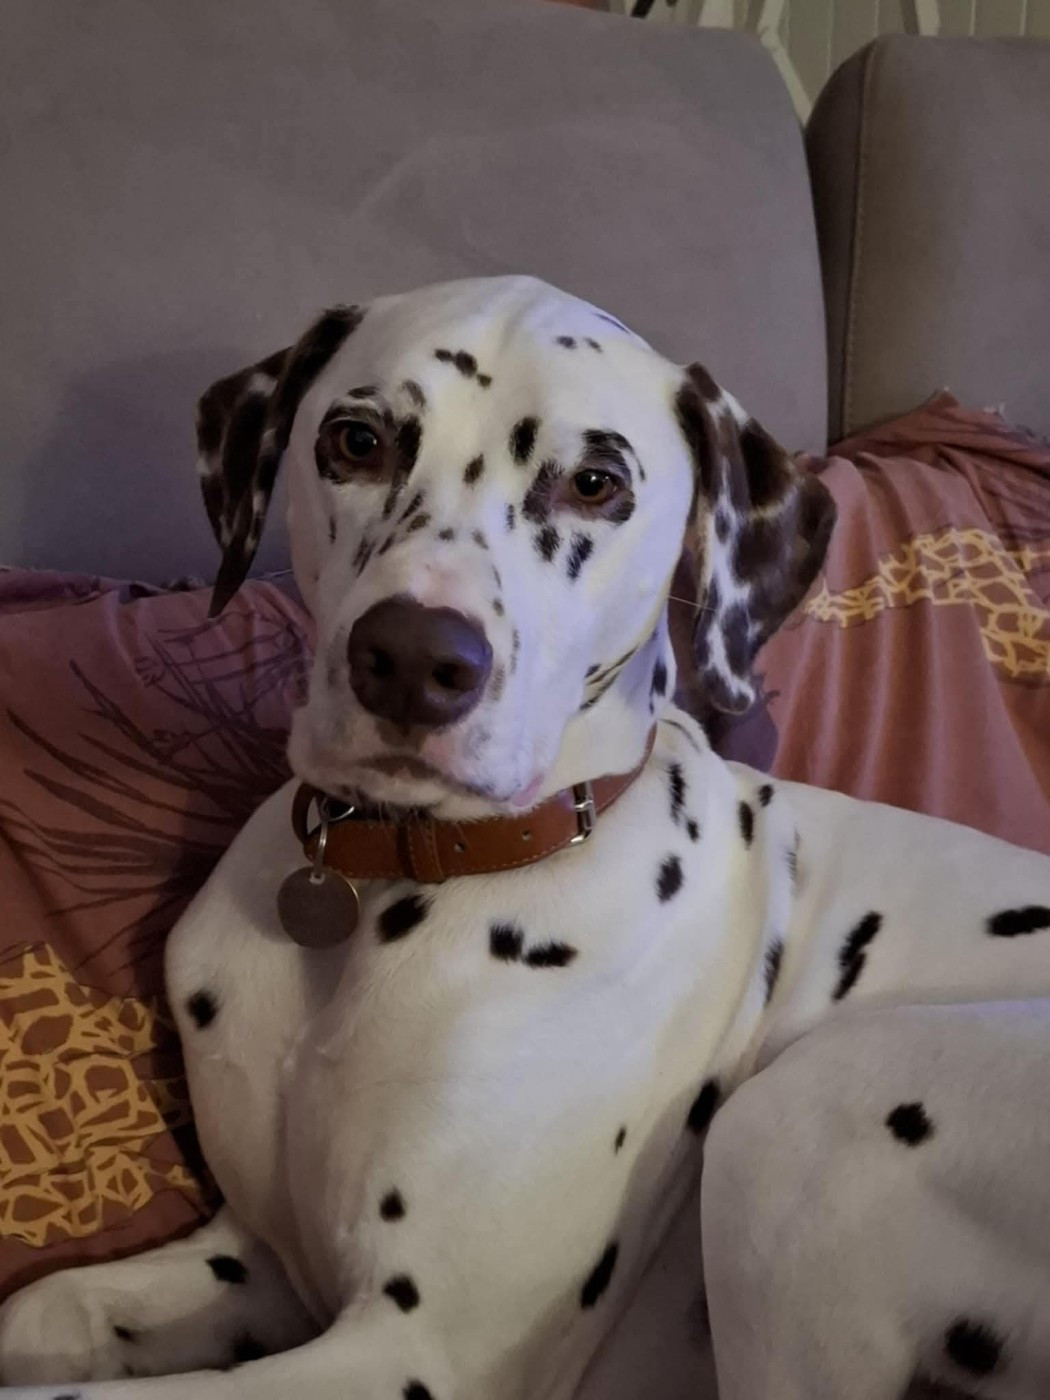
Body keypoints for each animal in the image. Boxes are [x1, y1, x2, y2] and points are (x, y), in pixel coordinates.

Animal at [2, 276, 1049, 1400]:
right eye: (357, 439)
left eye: (594, 483)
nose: (413, 659)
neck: (400, 882)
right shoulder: (259, 1259)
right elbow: (44, 1309)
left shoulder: (415, 1354)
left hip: (796, 1118)